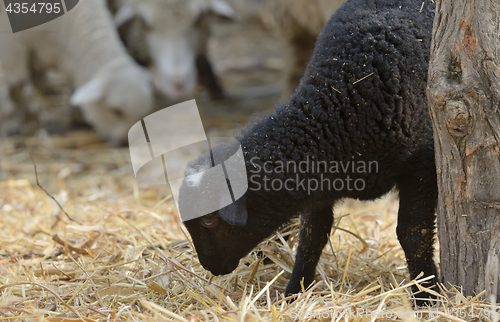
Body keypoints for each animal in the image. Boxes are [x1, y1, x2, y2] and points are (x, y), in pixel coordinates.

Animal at [179, 0, 438, 304]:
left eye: (208, 220)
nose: (209, 266)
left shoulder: (421, 166)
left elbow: (413, 232)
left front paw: (427, 294)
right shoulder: (320, 184)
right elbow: (312, 236)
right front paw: (294, 292)